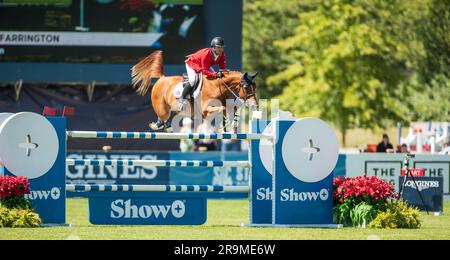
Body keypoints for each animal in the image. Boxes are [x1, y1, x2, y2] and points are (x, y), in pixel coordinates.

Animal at [130, 50, 258, 132]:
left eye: (255, 87)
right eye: (246, 87)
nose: (254, 105)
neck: (218, 86)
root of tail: (162, 78)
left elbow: (232, 108)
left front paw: (232, 122)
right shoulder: (206, 109)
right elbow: (223, 108)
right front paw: (225, 123)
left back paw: (166, 126)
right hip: (162, 108)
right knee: (163, 115)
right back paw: (159, 125)